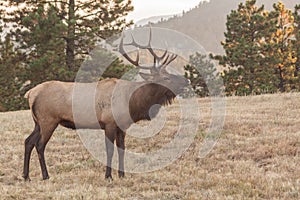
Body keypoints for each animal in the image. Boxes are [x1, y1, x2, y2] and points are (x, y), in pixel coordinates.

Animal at [23, 29, 189, 181]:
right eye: (166, 78)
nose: (186, 80)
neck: (133, 104)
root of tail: (31, 93)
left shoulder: (122, 126)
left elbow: (122, 149)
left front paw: (122, 174)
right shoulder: (109, 123)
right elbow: (109, 150)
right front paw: (108, 175)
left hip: (38, 122)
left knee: (28, 141)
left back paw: (26, 176)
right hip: (48, 120)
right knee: (39, 145)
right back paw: (45, 175)